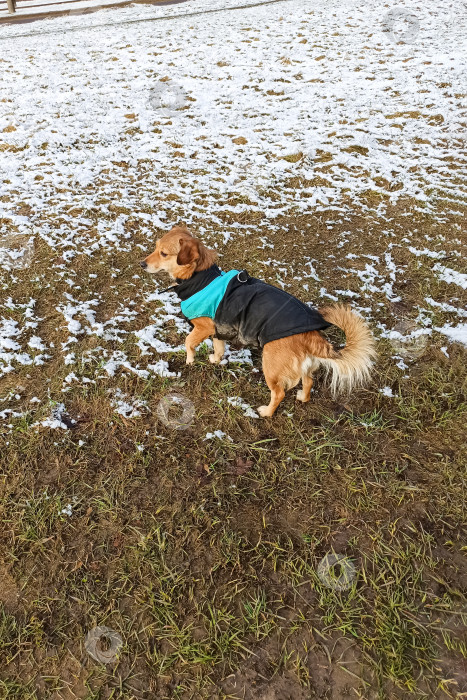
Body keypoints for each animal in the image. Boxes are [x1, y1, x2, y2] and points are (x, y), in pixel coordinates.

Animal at [142, 227, 376, 418]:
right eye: (155, 247)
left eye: (164, 253)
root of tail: (311, 335)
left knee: (279, 392)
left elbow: (189, 342)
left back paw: (267, 412)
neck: (201, 277)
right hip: (303, 367)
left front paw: (190, 360)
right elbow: (218, 348)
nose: (142, 264)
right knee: (308, 381)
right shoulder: (219, 329)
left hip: (270, 366)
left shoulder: (204, 327)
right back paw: (303, 397)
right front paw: (215, 360)